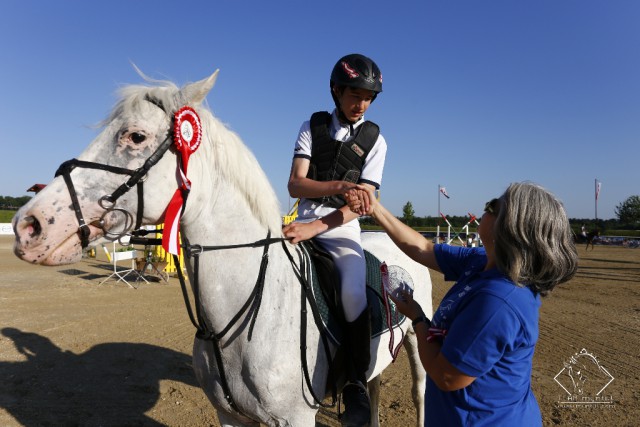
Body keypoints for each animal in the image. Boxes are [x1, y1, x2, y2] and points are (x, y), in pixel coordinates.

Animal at [11, 68, 430, 426]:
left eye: (135, 136)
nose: (27, 226)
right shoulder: (229, 415)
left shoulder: (296, 418)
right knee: (374, 388)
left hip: (416, 341)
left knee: (418, 392)